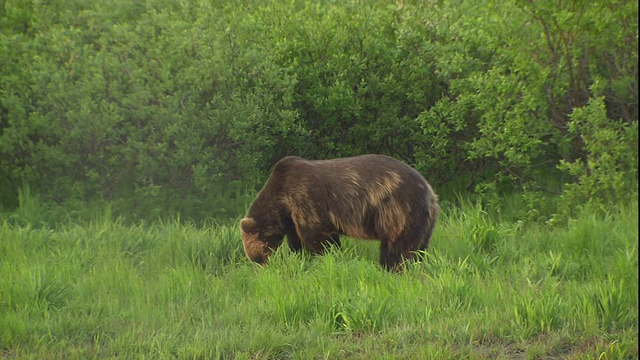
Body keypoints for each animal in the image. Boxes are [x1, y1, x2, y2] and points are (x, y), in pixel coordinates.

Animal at [240, 154, 440, 270]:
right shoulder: (292, 218)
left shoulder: (306, 198)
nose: (260, 264)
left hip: (397, 210)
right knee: (418, 246)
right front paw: (301, 257)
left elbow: (319, 237)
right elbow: (297, 241)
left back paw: (391, 267)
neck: (282, 203)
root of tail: (430, 192)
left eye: (255, 254)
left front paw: (325, 257)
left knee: (397, 247)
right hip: (423, 221)